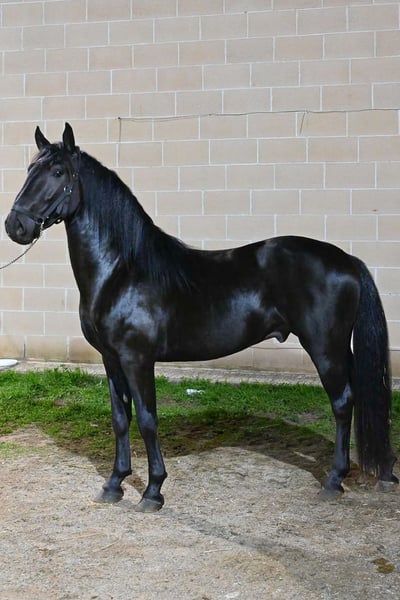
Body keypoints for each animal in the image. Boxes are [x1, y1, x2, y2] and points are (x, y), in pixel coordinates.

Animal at [5, 123, 398, 512]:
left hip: (325, 348)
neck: (121, 272)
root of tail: (347, 260)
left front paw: (153, 491)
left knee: (342, 403)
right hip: (339, 349)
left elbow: (147, 419)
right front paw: (114, 484)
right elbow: (120, 419)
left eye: (58, 172)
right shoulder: (111, 360)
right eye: (29, 170)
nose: (15, 226)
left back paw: (334, 480)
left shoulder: (137, 359)